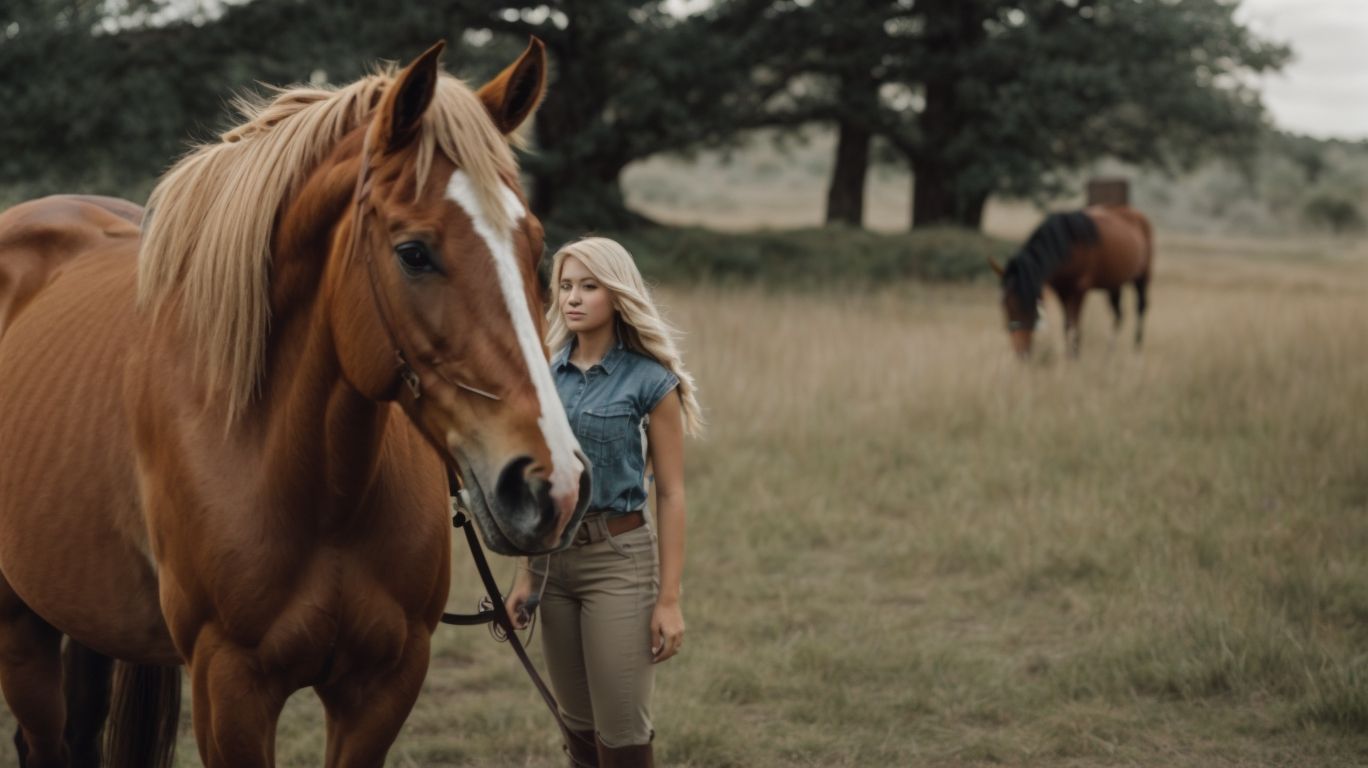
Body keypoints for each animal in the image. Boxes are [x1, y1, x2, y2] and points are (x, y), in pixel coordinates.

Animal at [0, 39, 591, 768]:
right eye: (413, 253)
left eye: (535, 250)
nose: (553, 485)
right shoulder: (229, 687)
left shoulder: (383, 686)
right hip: (20, 626)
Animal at [990, 205, 1153, 358]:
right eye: (1004, 306)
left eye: (1026, 306)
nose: (1021, 353)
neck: (1067, 247)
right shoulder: (1061, 291)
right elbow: (1067, 325)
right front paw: (1069, 355)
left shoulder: (1080, 290)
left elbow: (1075, 327)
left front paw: (1075, 357)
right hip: (1114, 284)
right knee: (1118, 314)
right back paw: (1110, 353)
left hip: (1142, 277)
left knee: (1140, 307)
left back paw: (1136, 349)